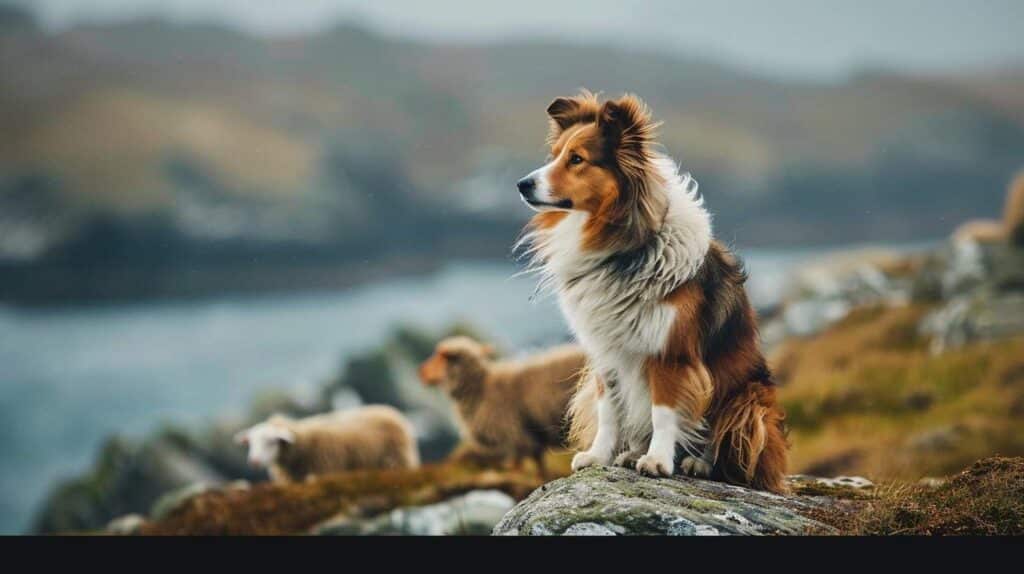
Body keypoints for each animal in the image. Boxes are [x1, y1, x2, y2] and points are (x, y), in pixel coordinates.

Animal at [234, 405, 420, 483]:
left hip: (398, 459)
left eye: (271, 441)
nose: (254, 461)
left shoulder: (326, 470)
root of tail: (390, 411)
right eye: (250, 443)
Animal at [418, 336, 586, 475]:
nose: (421, 372)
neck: (481, 389)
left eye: (441, 356)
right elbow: (539, 465)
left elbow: (517, 467)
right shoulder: (531, 440)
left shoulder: (516, 438)